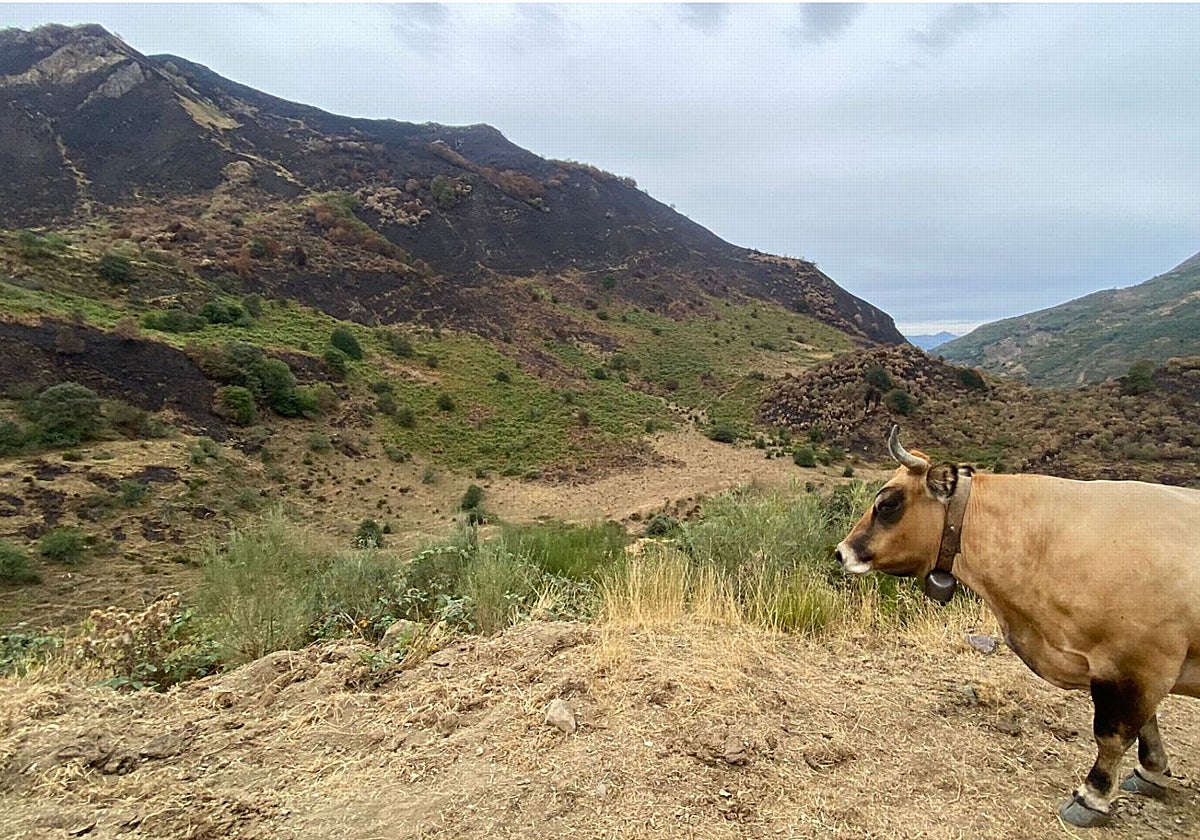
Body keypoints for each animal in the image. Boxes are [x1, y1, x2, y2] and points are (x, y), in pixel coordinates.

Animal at [835, 425, 1200, 828]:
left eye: (887, 505)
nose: (841, 552)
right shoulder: (1138, 669)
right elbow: (1146, 721)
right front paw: (1152, 771)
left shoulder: (1135, 662)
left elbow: (1114, 734)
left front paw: (1092, 796)